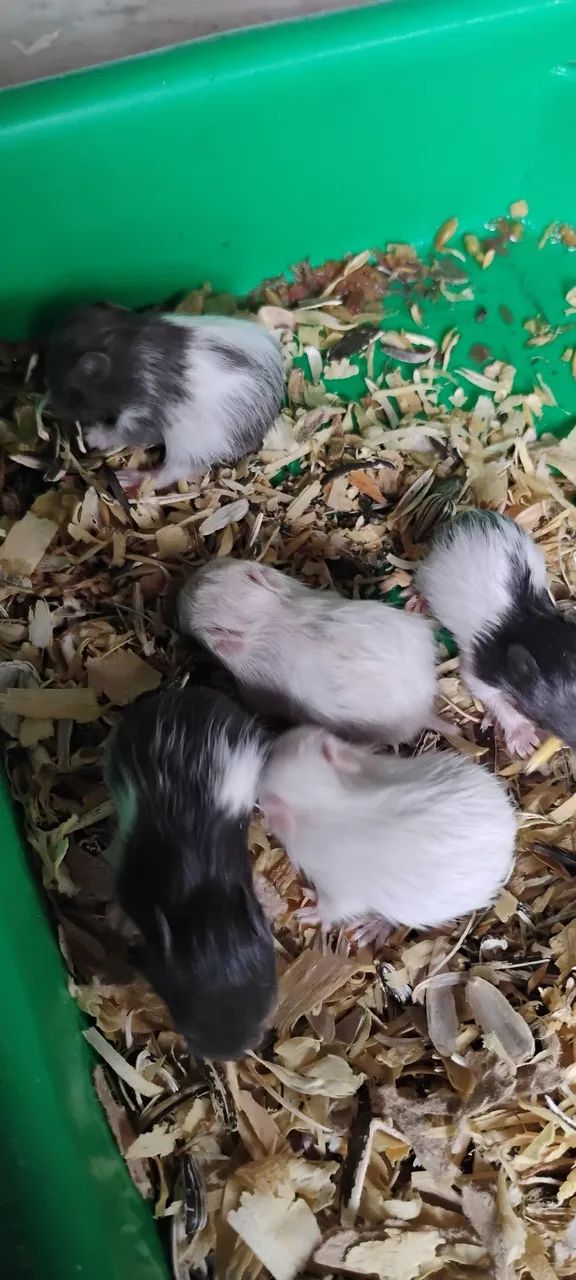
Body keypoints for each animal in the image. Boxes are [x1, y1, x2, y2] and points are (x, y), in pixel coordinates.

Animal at [45, 303, 284, 490]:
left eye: (72, 391)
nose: (50, 408)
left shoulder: (140, 418)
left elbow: (119, 433)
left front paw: (90, 436)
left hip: (191, 446)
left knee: (172, 472)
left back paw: (127, 478)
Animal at [259, 726, 516, 938]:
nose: (271, 743)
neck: (327, 799)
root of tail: (511, 827)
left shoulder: (338, 889)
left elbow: (331, 908)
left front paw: (310, 913)